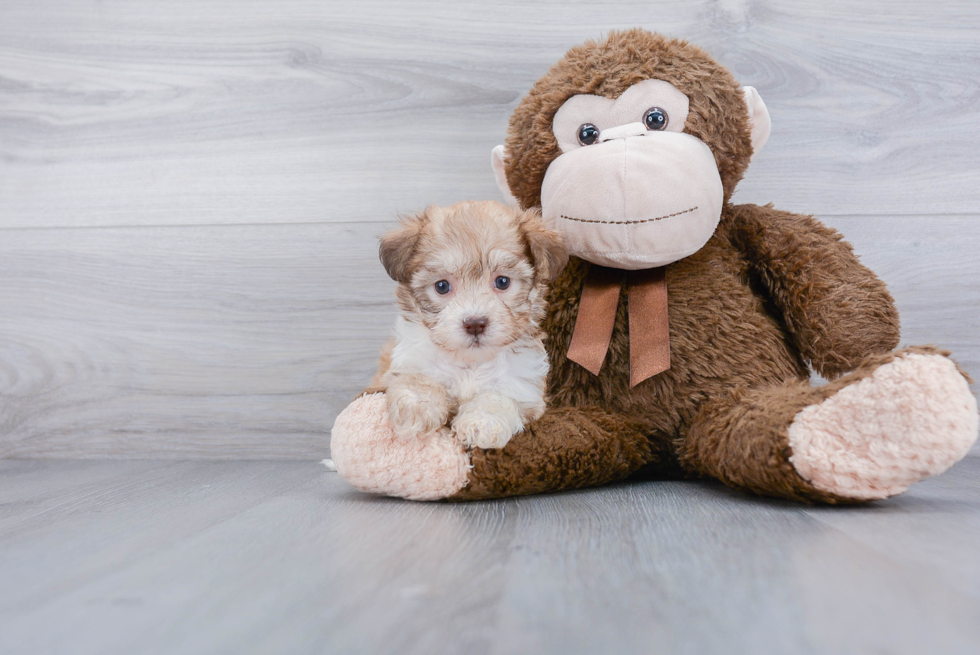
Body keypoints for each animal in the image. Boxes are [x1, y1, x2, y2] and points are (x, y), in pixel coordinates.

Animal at [374, 201, 568, 452]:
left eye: (502, 282)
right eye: (442, 286)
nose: (475, 323)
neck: (470, 362)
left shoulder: (524, 386)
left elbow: (500, 398)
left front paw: (482, 422)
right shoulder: (408, 359)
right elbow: (417, 378)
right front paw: (417, 406)